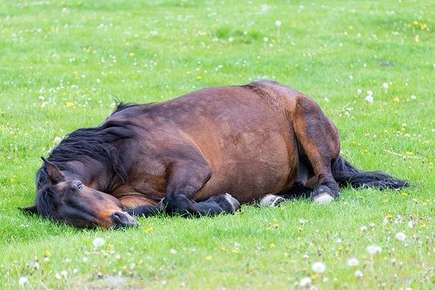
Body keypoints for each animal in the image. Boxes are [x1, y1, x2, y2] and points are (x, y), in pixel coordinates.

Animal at [20, 80, 408, 229]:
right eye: (69, 220)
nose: (119, 222)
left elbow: (177, 200)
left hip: (308, 124)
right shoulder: (129, 198)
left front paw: (224, 202)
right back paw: (270, 199)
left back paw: (322, 194)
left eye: (78, 187)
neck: (119, 151)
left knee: (327, 180)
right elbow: (162, 206)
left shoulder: (192, 167)